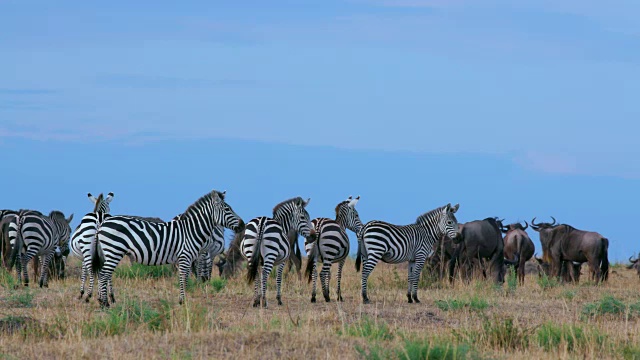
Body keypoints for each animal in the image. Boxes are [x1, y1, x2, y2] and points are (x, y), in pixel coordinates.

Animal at [87, 188, 242, 306]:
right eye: (227, 209)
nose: (242, 225)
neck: (191, 230)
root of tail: (102, 224)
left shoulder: (186, 258)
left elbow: (185, 278)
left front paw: (183, 300)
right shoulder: (185, 257)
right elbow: (183, 279)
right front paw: (182, 301)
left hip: (109, 252)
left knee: (103, 274)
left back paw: (102, 300)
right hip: (114, 251)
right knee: (103, 275)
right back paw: (104, 304)